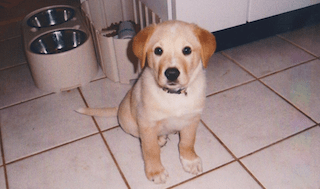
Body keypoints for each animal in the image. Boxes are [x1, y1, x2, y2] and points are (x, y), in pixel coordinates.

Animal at [78, 20, 215, 183]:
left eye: (187, 50)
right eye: (158, 51)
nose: (172, 73)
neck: (173, 95)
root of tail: (119, 107)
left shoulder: (192, 119)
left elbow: (187, 142)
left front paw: (190, 160)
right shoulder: (147, 123)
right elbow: (150, 149)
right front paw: (155, 171)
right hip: (128, 123)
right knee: (141, 136)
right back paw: (160, 138)